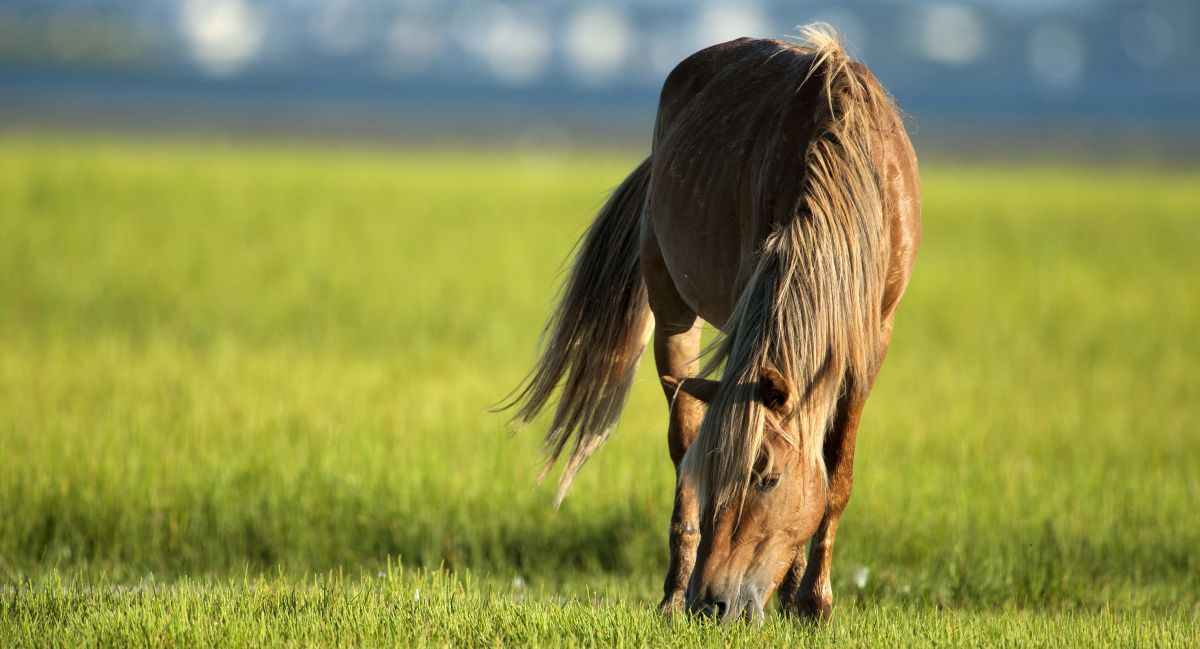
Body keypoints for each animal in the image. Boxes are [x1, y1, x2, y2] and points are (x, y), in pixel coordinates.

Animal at [499, 25, 920, 623]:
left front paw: (811, 601)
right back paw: (674, 591)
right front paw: (794, 596)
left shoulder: (872, 337)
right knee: (682, 439)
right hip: (673, 313)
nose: (715, 602)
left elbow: (835, 473)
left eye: (768, 478)